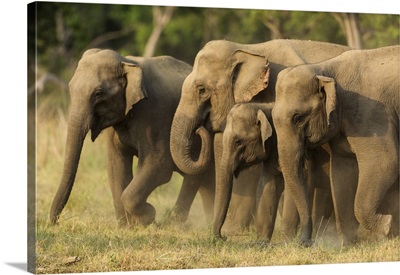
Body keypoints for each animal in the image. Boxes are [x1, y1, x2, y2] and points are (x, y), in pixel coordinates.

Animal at [49, 49, 216, 229]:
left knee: (194, 178)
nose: (54, 223)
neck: (126, 62)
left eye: (98, 93)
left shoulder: (156, 114)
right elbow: (116, 166)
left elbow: (159, 165)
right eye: (70, 88)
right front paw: (126, 227)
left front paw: (148, 217)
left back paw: (174, 223)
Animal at [214, 103, 332, 244]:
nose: (223, 237)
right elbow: (268, 185)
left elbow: (295, 184)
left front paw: (287, 242)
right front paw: (261, 243)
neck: (263, 107)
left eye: (238, 141)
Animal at [274, 45, 398, 248]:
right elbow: (341, 171)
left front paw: (386, 226)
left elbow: (385, 163)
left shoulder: (372, 114)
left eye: (298, 118)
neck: (326, 69)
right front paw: (346, 245)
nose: (305, 242)